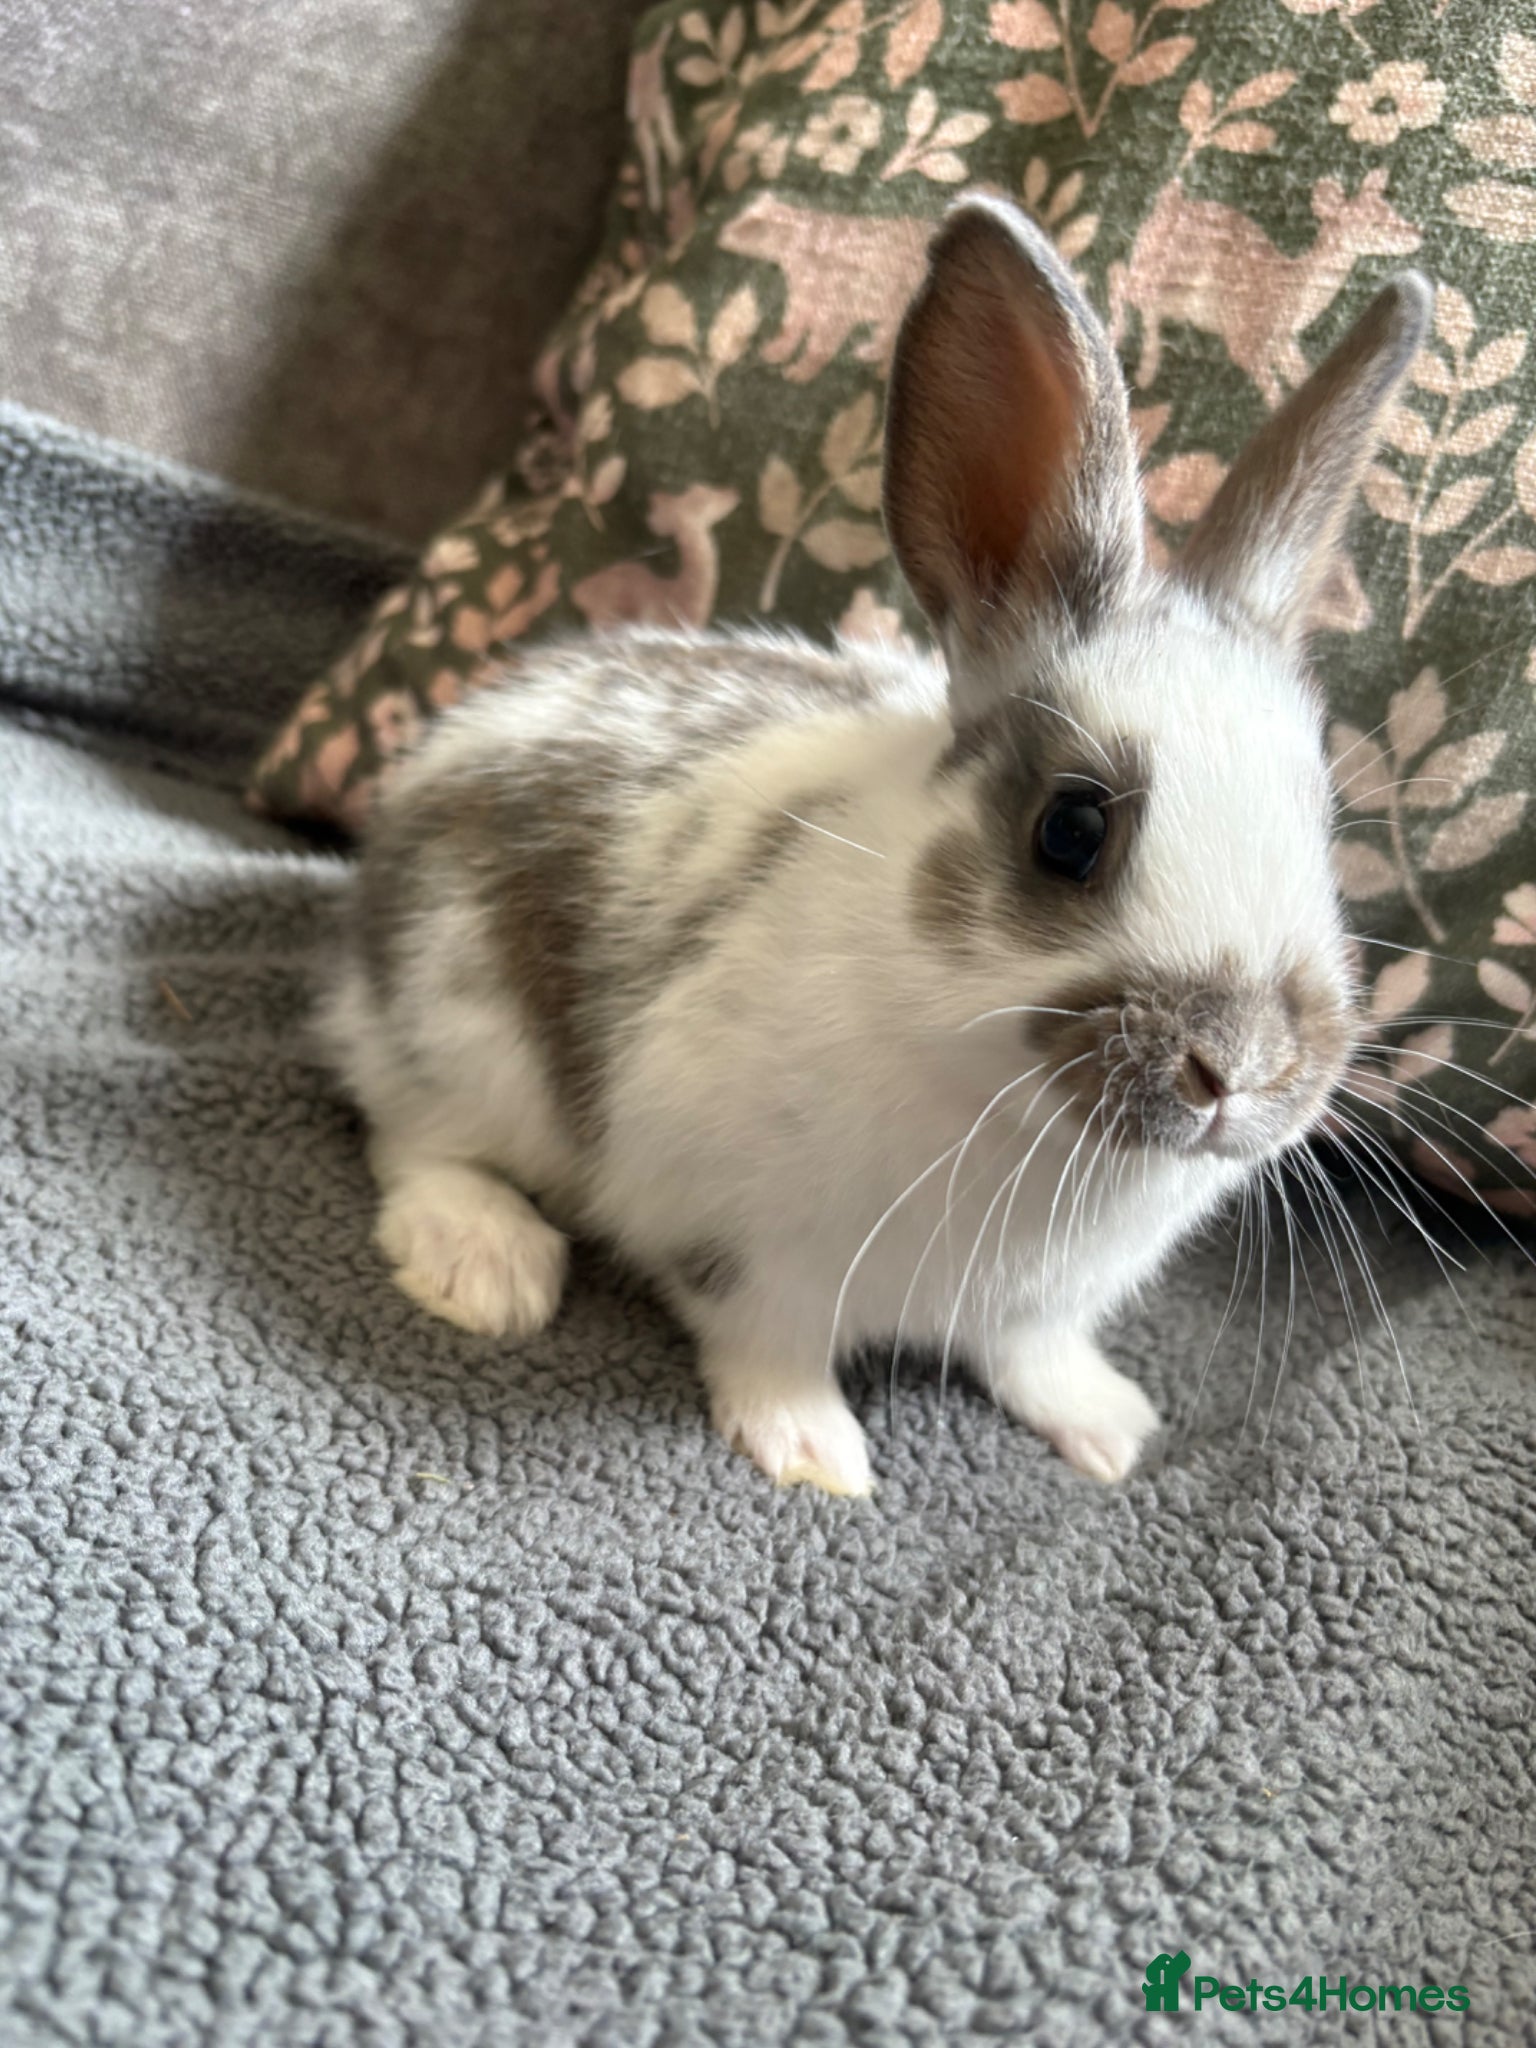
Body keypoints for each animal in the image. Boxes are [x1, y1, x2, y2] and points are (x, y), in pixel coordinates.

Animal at [321, 194, 1429, 1498]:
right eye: (1071, 828)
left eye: (1325, 828)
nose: (1240, 1067)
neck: (1009, 1109)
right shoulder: (736, 1237)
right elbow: (768, 1342)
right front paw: (812, 1453)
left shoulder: (1038, 1306)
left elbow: (1035, 1353)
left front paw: (1112, 1429)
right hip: (460, 1020)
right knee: (407, 1127)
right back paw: (486, 1265)